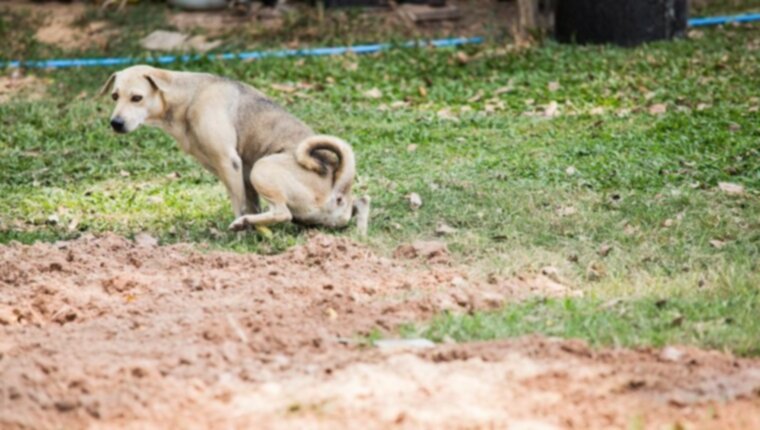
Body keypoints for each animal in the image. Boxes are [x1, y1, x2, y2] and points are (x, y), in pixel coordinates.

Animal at [101, 64, 372, 235]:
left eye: (137, 98)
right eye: (114, 96)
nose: (115, 123)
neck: (188, 96)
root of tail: (338, 190)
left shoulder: (229, 162)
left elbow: (239, 204)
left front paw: (241, 232)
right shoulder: (242, 170)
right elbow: (250, 202)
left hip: (263, 168)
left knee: (283, 213)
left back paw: (243, 224)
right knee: (362, 202)